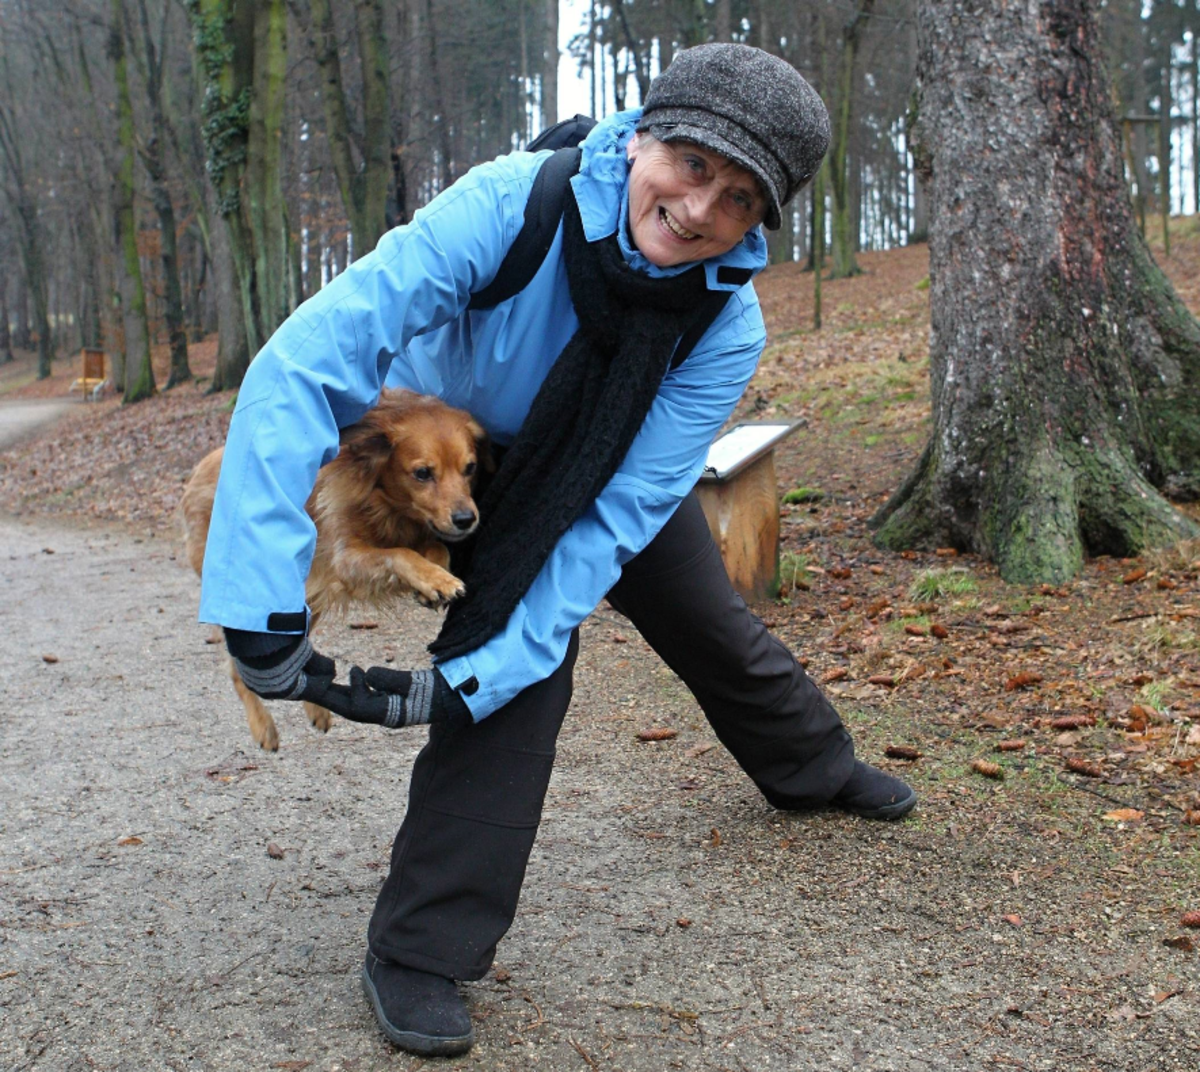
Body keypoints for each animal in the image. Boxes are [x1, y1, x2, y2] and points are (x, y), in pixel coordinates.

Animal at [180, 388, 484, 749]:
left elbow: (436, 547)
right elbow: (400, 555)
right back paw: (263, 725)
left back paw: (317, 708)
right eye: (423, 473)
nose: (466, 519)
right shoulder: (347, 558)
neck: (383, 502)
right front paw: (435, 579)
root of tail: (200, 469)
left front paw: (435, 578)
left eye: (470, 468)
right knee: (238, 670)